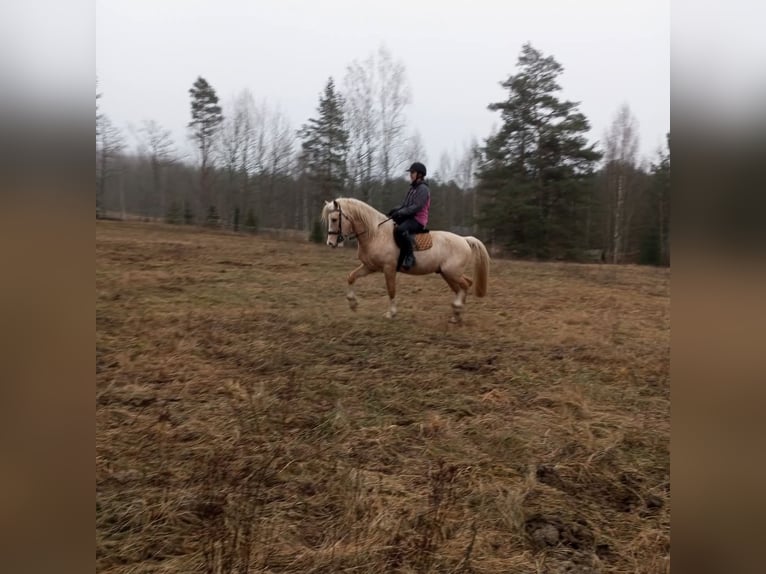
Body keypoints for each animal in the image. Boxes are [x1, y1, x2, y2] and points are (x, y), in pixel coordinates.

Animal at [320, 198, 492, 324]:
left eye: (334, 219)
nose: (330, 243)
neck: (376, 234)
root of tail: (464, 239)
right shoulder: (370, 266)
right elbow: (351, 277)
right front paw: (353, 304)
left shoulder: (388, 268)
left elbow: (391, 290)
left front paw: (391, 313)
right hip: (447, 274)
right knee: (462, 286)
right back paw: (457, 314)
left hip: (452, 272)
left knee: (466, 285)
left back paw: (457, 308)